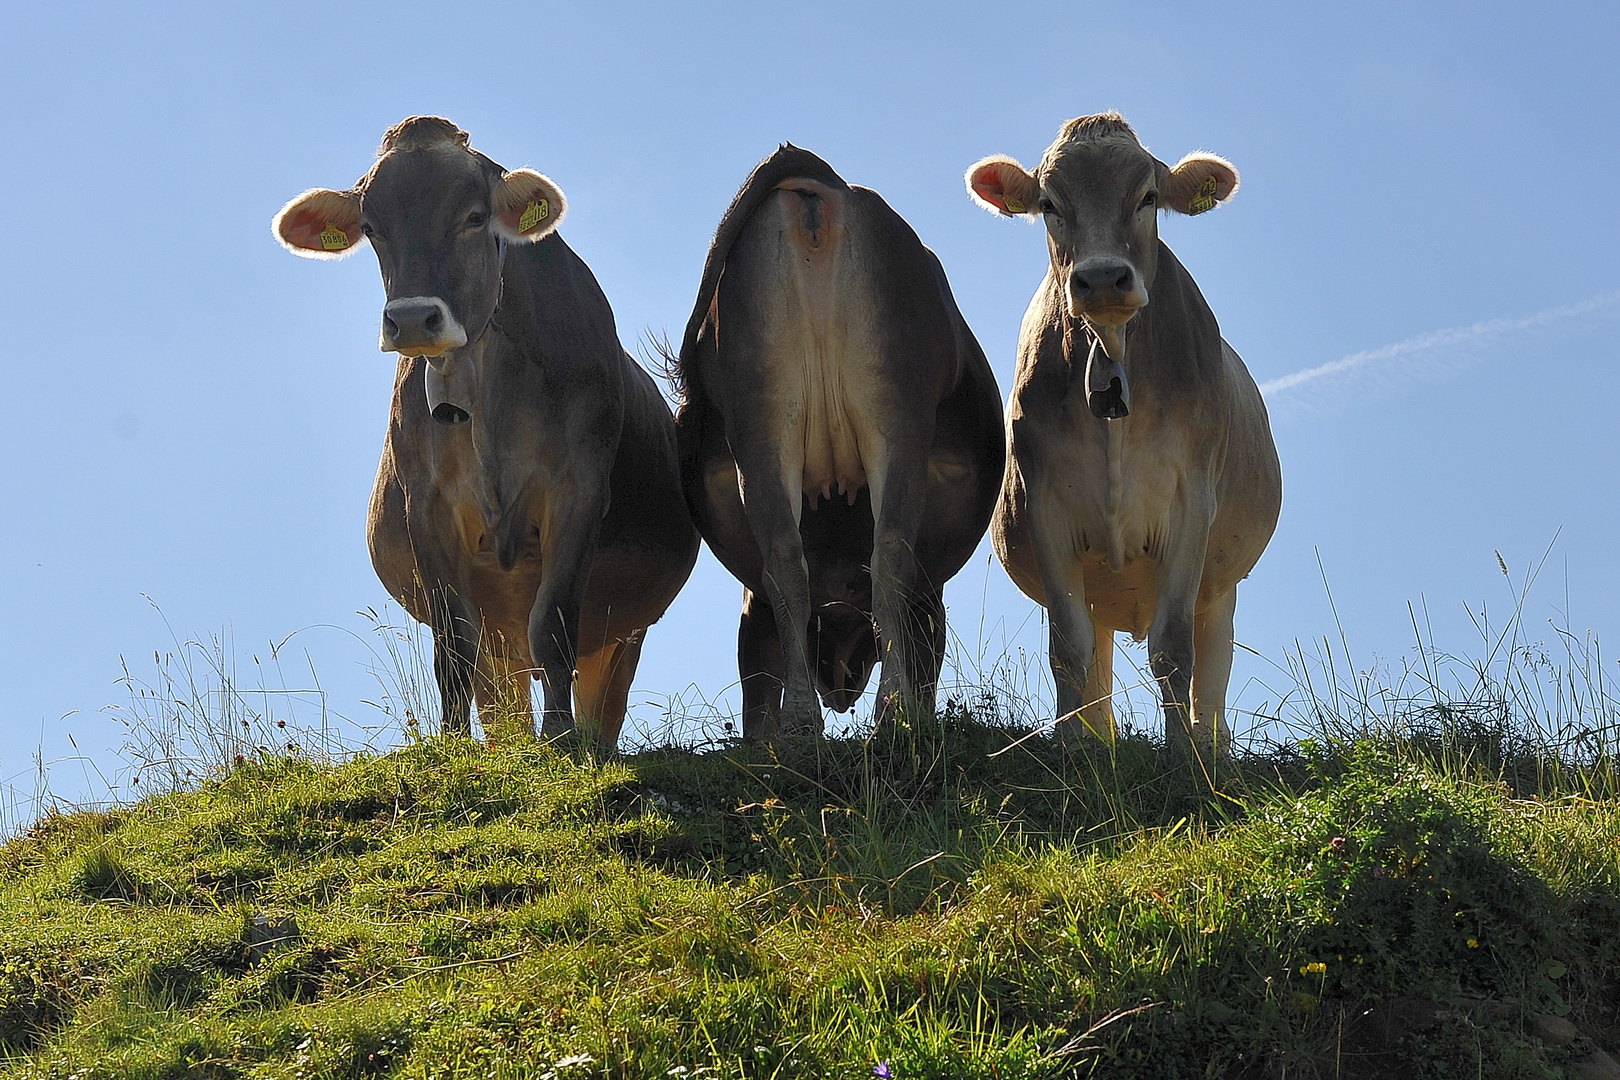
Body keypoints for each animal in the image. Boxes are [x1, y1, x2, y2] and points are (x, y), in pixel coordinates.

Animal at [273, 114, 703, 748]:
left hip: (622, 634)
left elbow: (554, 624)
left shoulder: (578, 490)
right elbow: (453, 641)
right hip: (504, 648)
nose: (411, 319)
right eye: (371, 227)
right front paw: (452, 746)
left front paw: (560, 741)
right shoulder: (427, 504)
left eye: (474, 217)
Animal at [667, 145, 997, 735]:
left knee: (787, 562)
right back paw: (894, 713)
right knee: (890, 559)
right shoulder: (933, 599)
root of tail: (826, 181)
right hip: (896, 419)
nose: (842, 686)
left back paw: (803, 720)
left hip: (762, 423)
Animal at [965, 114, 1283, 764]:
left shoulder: (1190, 504)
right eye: (1049, 204)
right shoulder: (1047, 507)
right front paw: (1071, 752)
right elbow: (1069, 650)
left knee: (1212, 665)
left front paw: (1183, 759)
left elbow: (1174, 649)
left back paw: (1211, 747)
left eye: (1148, 197)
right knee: (1097, 661)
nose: (1103, 278)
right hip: (1099, 585)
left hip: (1221, 586)